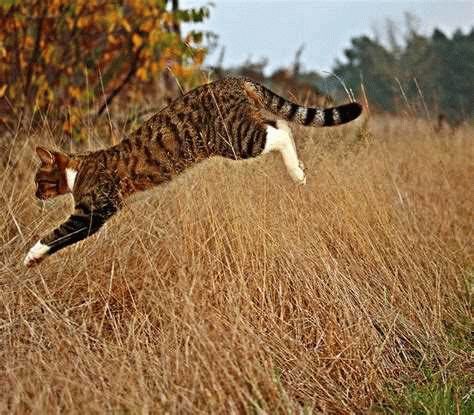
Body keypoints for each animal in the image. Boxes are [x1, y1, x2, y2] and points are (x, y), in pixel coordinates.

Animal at [23, 77, 362, 266]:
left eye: (39, 180)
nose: (35, 193)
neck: (78, 169)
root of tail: (235, 79)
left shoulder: (94, 210)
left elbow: (58, 234)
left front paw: (31, 256)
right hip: (242, 129)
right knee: (281, 124)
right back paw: (298, 171)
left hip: (235, 139)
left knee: (279, 132)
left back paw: (296, 173)